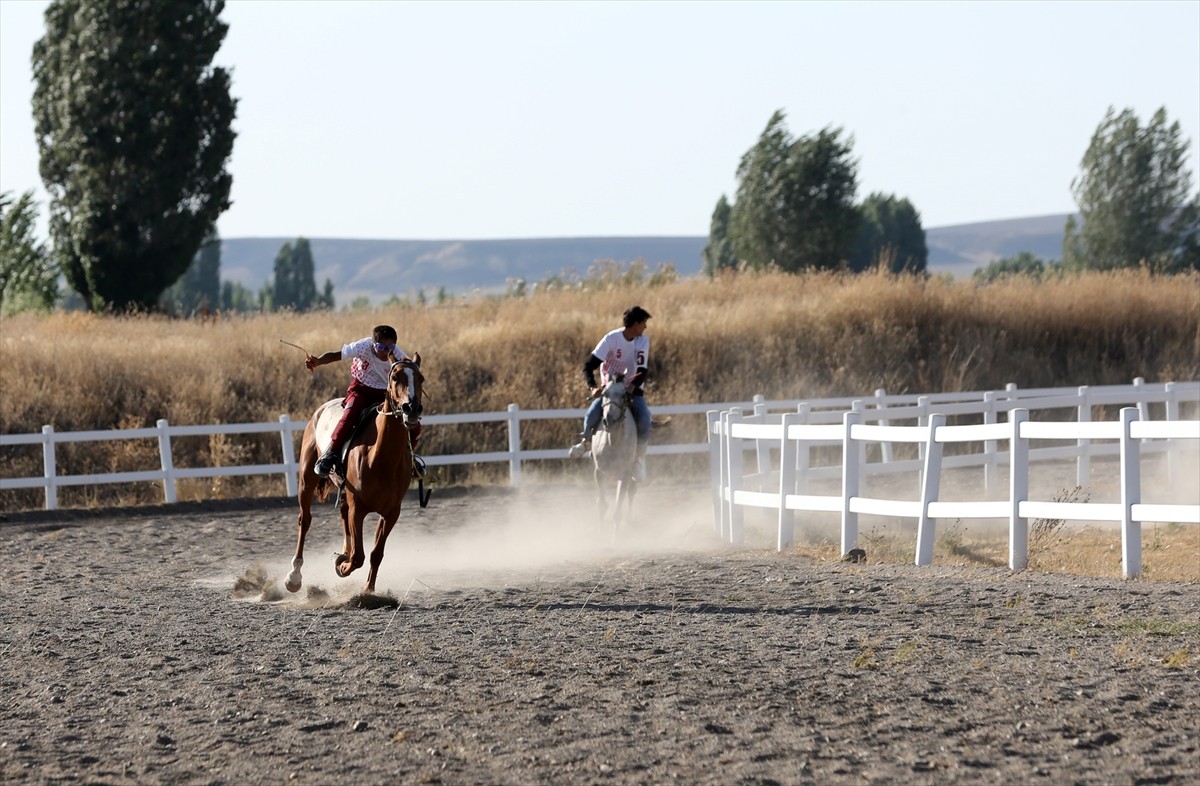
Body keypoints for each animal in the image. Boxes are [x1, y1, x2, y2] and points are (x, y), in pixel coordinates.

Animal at [286, 352, 427, 592]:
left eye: (421, 378)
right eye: (395, 377)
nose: (412, 408)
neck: (381, 458)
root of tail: (321, 409)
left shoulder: (391, 512)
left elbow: (376, 554)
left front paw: (368, 589)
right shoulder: (358, 508)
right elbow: (359, 556)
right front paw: (343, 566)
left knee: (342, 514)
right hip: (307, 479)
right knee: (305, 520)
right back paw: (294, 575)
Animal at [588, 372, 638, 532]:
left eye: (623, 395)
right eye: (604, 393)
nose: (609, 420)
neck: (613, 443)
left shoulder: (624, 473)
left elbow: (617, 511)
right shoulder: (599, 472)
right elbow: (602, 505)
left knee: (631, 491)